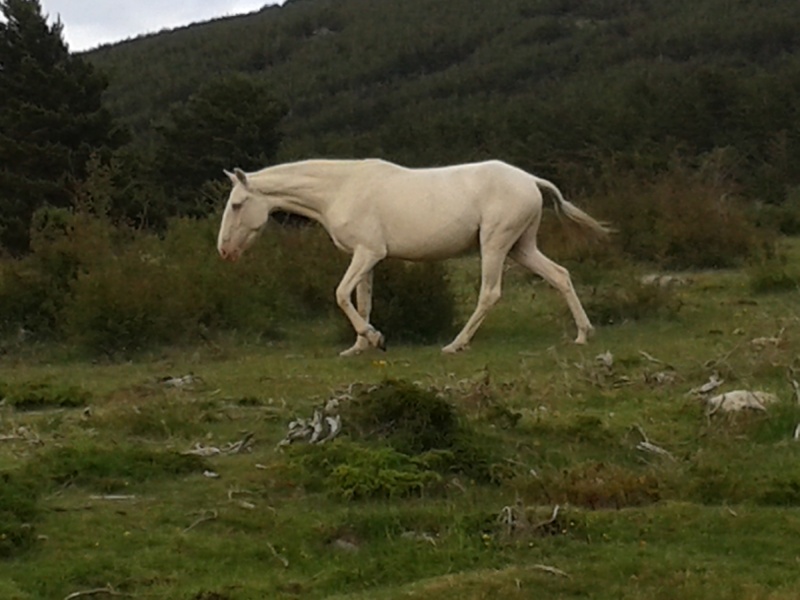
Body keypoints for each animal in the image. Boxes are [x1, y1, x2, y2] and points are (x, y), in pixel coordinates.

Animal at [216, 159, 608, 356]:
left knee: (490, 293)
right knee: (560, 275)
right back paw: (583, 334)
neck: (340, 189)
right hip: (521, 246)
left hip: (496, 244)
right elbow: (363, 300)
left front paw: (375, 338)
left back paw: (456, 344)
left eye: (237, 205)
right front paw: (359, 346)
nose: (224, 251)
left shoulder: (368, 253)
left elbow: (341, 295)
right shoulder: (368, 258)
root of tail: (530, 180)